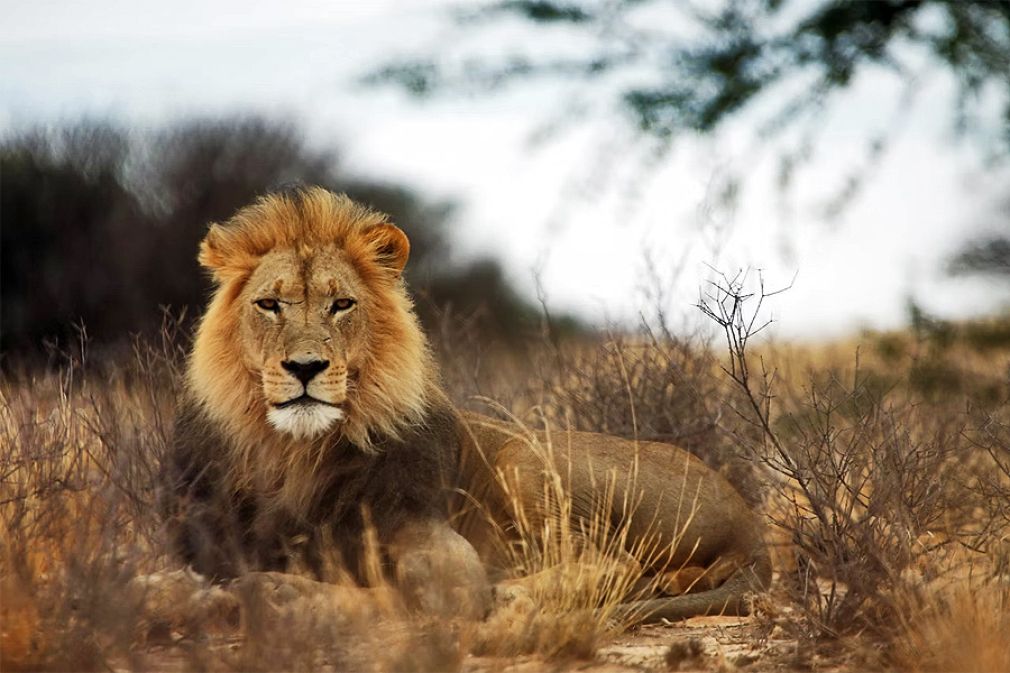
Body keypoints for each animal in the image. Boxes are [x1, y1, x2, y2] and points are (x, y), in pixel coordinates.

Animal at [163, 186, 771, 624]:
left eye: (342, 305)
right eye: (269, 304)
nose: (305, 367)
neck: (296, 452)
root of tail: (749, 522)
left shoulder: (433, 542)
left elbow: (412, 595)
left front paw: (277, 594)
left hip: (524, 460)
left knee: (614, 561)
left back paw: (519, 596)